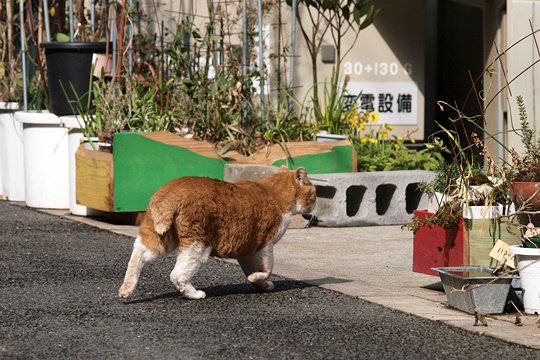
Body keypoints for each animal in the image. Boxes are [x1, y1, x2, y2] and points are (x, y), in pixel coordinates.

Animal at [116, 167, 314, 300]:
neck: (272, 191)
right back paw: (194, 294)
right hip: (197, 244)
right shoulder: (265, 245)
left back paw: (127, 289)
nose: (313, 208)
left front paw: (260, 284)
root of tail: (170, 191)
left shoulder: (246, 247)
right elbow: (266, 269)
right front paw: (258, 279)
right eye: (314, 194)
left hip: (161, 237)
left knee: (138, 253)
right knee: (177, 274)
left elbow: (253, 270)